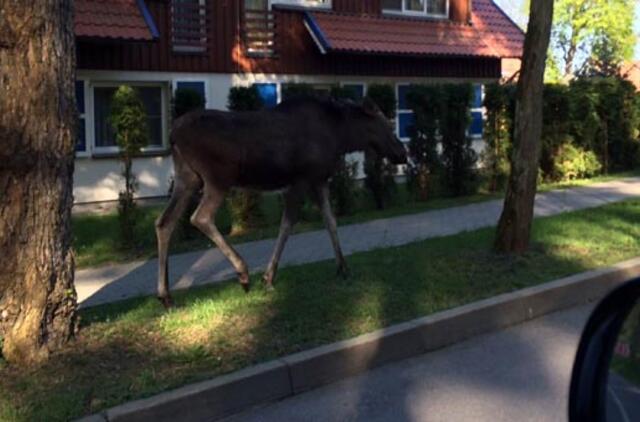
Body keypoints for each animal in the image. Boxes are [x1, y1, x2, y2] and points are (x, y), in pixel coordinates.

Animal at [154, 95, 404, 306]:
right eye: (386, 124)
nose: (402, 152)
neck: (342, 136)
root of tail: (173, 135)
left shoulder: (319, 180)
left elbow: (331, 221)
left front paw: (343, 267)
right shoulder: (299, 181)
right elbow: (287, 225)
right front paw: (268, 277)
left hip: (187, 178)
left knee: (164, 222)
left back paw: (165, 295)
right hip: (217, 178)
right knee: (201, 217)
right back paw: (243, 272)